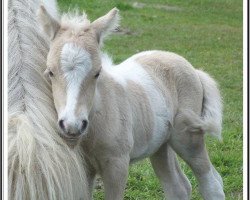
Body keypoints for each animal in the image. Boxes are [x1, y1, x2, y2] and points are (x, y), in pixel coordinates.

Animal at [38, 6, 225, 200]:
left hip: (188, 138)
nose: (72, 126)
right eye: (50, 72)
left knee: (212, 182)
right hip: (161, 144)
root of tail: (194, 70)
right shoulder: (84, 170)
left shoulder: (117, 165)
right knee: (178, 186)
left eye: (97, 73)